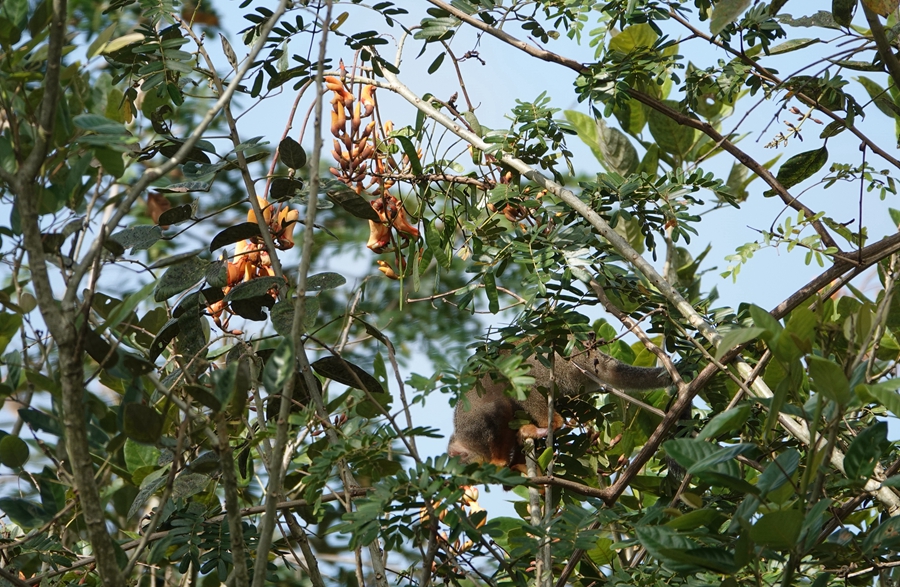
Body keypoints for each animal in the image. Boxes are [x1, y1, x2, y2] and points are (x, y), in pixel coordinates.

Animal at [446, 340, 672, 474]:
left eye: (457, 459)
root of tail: (586, 354)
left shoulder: (474, 426)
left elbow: (498, 410)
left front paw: (499, 462)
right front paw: (516, 464)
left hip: (555, 364)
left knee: (523, 383)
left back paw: (550, 424)